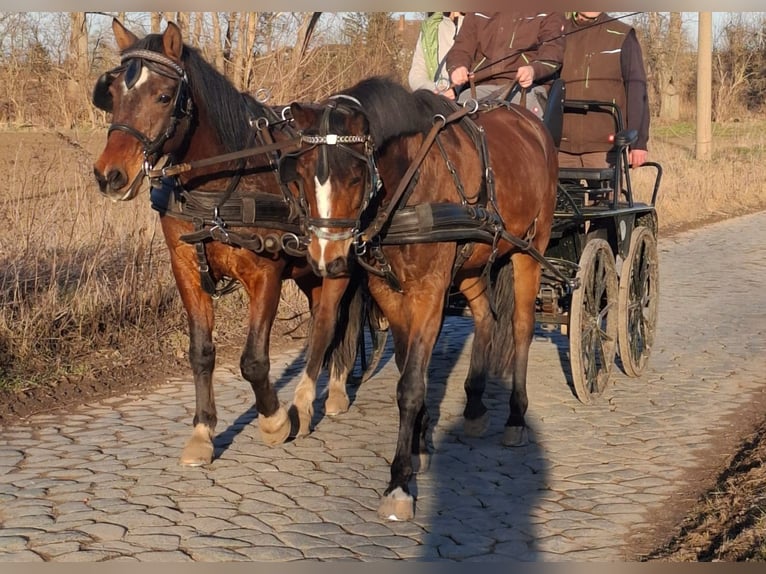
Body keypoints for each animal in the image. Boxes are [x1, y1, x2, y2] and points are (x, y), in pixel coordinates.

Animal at [92, 19, 382, 467]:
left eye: (163, 96)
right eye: (116, 94)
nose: (110, 175)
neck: (222, 183)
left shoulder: (265, 274)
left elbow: (254, 360)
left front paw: (274, 421)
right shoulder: (185, 268)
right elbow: (201, 352)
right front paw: (202, 432)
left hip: (337, 260)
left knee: (327, 323)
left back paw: (309, 402)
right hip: (310, 271)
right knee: (329, 322)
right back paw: (331, 387)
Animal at [284, 76, 558, 520]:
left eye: (356, 176)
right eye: (305, 174)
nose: (328, 259)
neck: (410, 183)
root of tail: (529, 122)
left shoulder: (429, 292)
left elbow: (410, 384)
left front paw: (398, 481)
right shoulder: (390, 294)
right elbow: (405, 365)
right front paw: (419, 443)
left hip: (530, 250)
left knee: (520, 328)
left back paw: (516, 417)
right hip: (470, 265)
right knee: (486, 317)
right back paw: (475, 405)